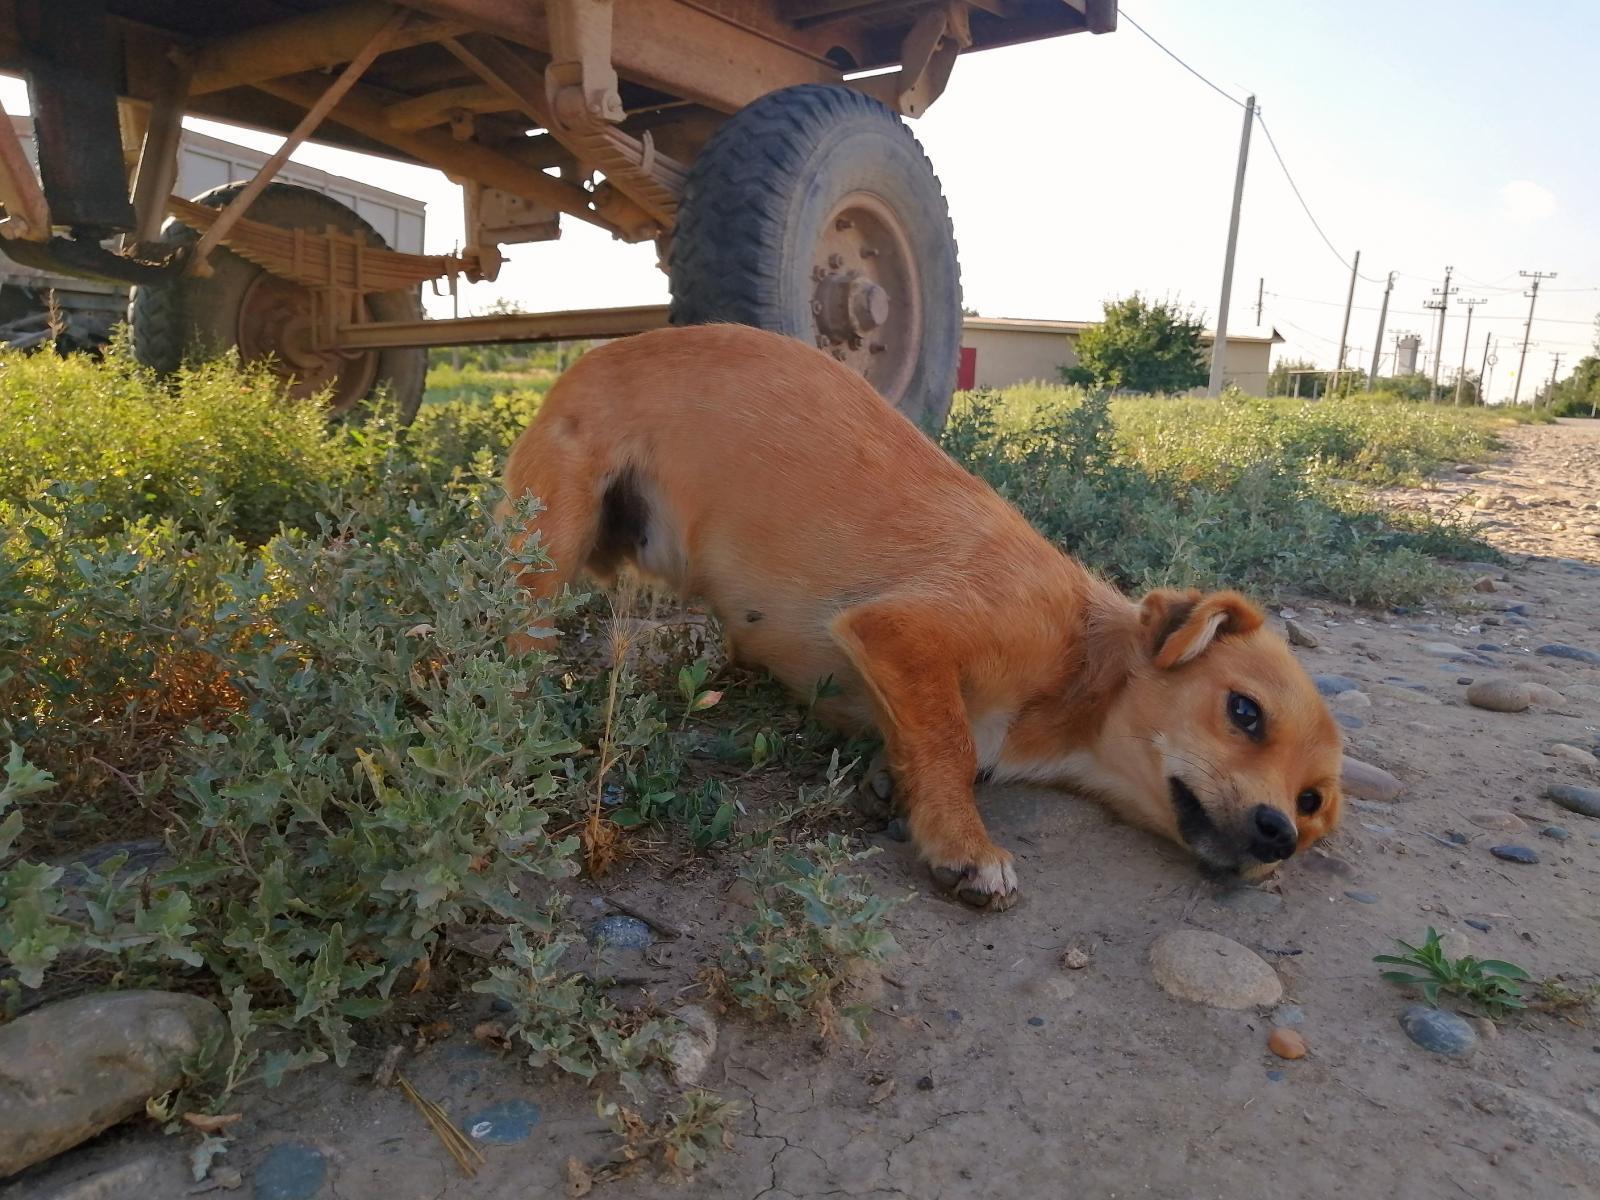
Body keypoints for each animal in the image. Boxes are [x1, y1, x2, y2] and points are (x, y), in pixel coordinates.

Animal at [496, 326, 1337, 908]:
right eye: (1244, 712)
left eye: (1313, 804)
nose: (1279, 836)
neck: (1082, 664)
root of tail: (588, 357)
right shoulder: (905, 632)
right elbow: (952, 743)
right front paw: (963, 841)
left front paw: (893, 789)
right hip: (547, 546)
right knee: (511, 639)